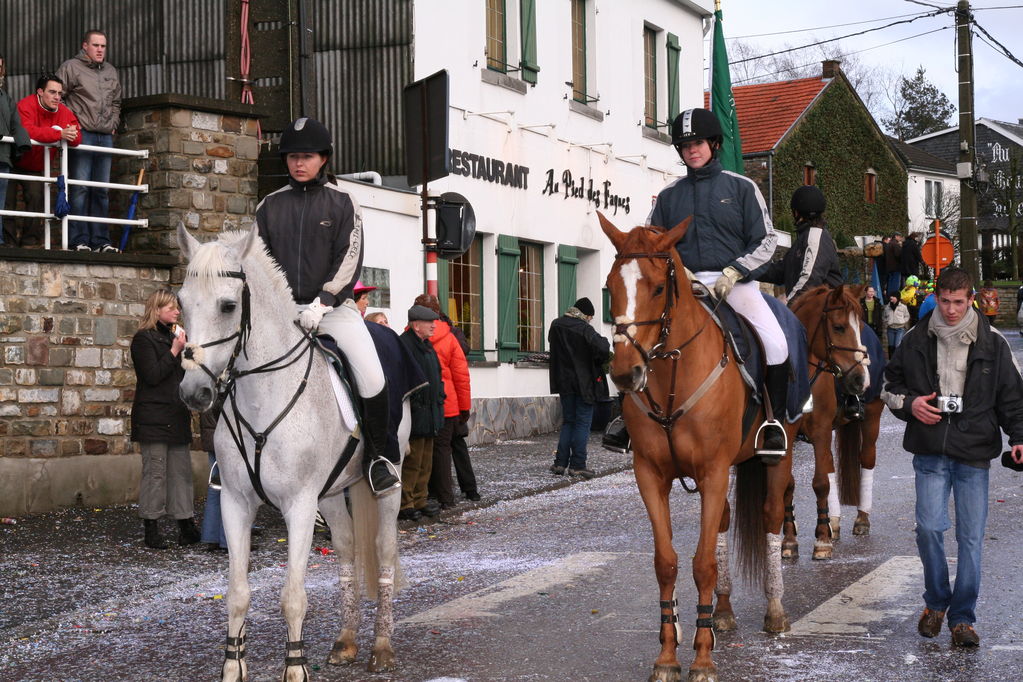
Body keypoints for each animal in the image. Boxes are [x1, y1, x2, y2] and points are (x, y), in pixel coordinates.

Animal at [175, 221, 407, 678]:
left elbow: (293, 596)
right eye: (181, 303)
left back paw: (383, 648)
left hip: (388, 480)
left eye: (228, 306)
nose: (194, 393)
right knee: (347, 549)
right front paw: (233, 668)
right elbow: (237, 594)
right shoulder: (235, 502)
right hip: (332, 492)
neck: (262, 394)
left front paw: (295, 668)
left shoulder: (299, 505)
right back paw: (346, 641)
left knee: (383, 551)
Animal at [597, 213, 797, 682]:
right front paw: (668, 655)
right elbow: (667, 562)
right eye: (610, 286)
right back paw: (720, 612)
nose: (625, 374)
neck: (673, 374)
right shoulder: (651, 476)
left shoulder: (712, 470)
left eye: (657, 288)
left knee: (771, 517)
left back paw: (775, 610)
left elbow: (702, 562)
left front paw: (703, 660)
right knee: (722, 523)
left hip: (778, 455)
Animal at [785, 286, 883, 564]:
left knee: (866, 459)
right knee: (829, 466)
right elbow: (789, 484)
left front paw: (821, 541)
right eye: (838, 327)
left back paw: (861, 519)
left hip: (872, 417)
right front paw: (790, 540)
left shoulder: (819, 431)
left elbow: (820, 482)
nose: (861, 379)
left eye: (858, 324)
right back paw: (833, 523)